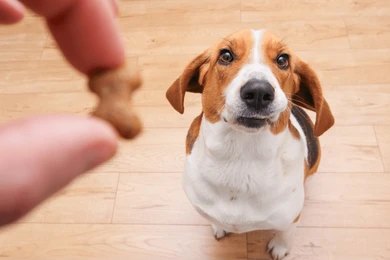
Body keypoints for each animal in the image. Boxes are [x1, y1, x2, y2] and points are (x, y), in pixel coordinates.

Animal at [166, 29, 334, 260]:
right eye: (226, 55)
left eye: (283, 59)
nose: (258, 92)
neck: (241, 156)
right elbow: (214, 218)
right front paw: (219, 226)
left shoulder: (290, 219)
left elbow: (285, 233)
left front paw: (280, 248)